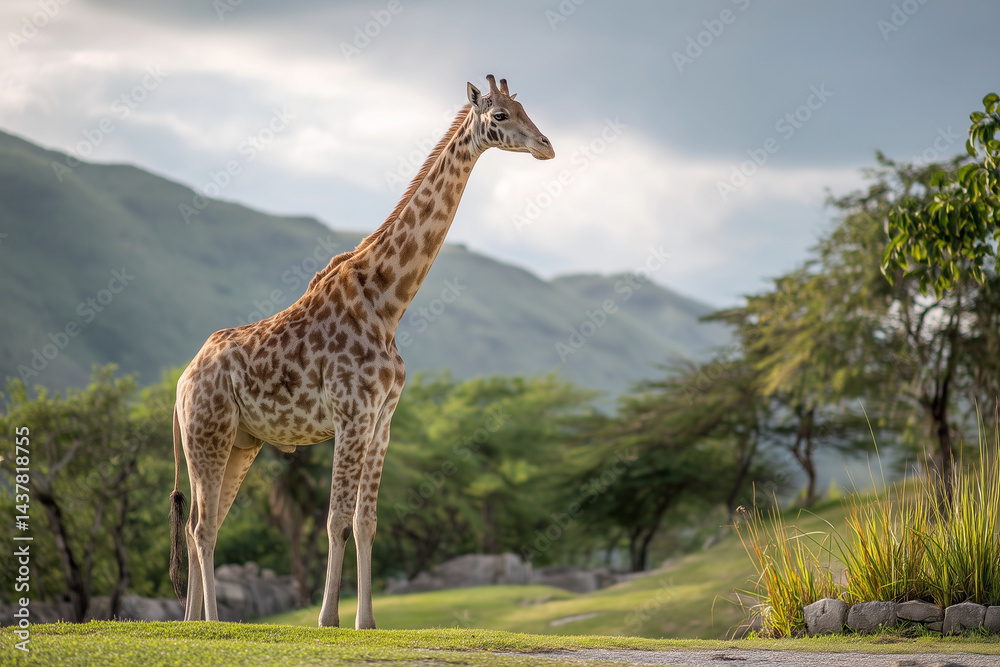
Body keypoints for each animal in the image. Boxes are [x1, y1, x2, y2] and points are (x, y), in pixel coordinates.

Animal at [168, 75, 553, 628]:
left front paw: (366, 621)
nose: (546, 146)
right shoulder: (351, 414)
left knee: (206, 520)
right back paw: (215, 622)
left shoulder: (381, 420)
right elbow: (335, 519)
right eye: (500, 115)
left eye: (525, 109)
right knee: (201, 526)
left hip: (240, 441)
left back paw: (192, 621)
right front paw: (328, 619)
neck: (388, 302)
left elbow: (366, 520)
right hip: (209, 432)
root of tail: (182, 381)